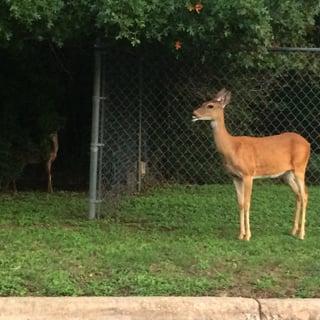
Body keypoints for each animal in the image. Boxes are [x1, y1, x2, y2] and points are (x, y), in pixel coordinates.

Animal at [192, 87, 310, 240]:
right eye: (203, 103)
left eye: (210, 106)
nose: (194, 113)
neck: (232, 147)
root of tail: (308, 143)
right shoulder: (235, 177)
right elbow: (240, 203)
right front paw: (240, 235)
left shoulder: (248, 173)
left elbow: (247, 203)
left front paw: (247, 236)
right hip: (287, 174)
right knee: (298, 195)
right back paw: (293, 231)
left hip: (300, 167)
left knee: (304, 195)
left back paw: (301, 234)